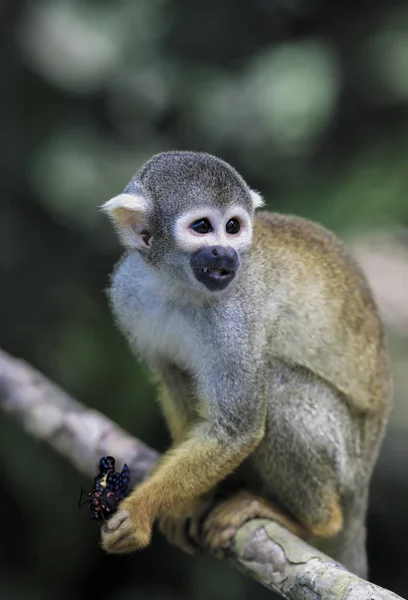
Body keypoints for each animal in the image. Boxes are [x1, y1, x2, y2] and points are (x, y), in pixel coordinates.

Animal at [100, 150, 390, 576]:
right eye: (203, 227)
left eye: (233, 227)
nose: (225, 253)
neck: (178, 286)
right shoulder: (129, 290)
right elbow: (173, 379)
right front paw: (187, 503)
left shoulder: (234, 316)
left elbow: (237, 427)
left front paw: (140, 511)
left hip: (347, 465)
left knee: (280, 389)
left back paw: (315, 522)